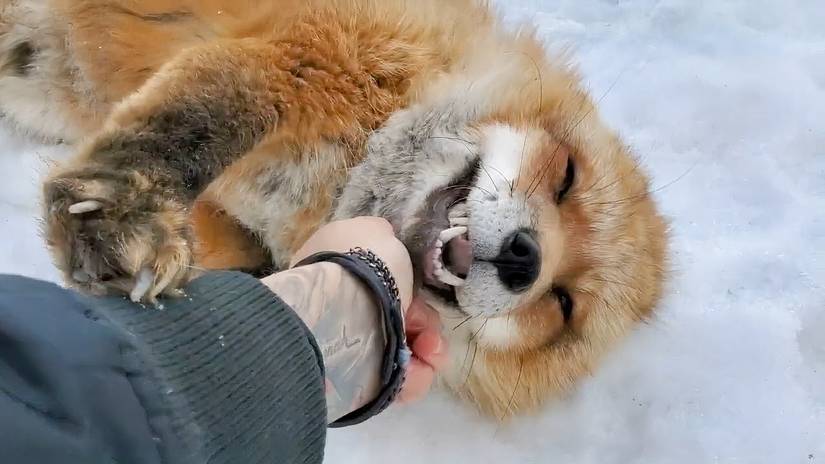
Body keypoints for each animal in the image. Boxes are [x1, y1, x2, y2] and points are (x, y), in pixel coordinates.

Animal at [0, 0, 668, 419]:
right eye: (567, 177)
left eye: (562, 307)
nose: (524, 259)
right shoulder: (319, 48)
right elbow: (200, 123)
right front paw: (122, 208)